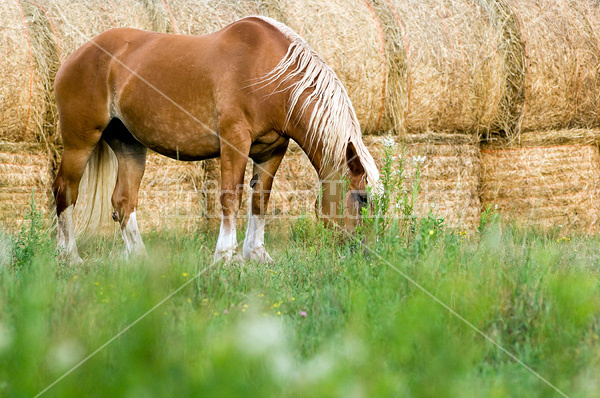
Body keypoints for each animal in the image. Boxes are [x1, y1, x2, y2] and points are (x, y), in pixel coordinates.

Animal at [51, 16, 380, 264]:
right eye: (361, 198)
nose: (363, 251)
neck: (272, 75)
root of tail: (76, 56)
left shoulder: (272, 150)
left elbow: (260, 200)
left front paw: (257, 254)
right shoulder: (235, 142)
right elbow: (230, 197)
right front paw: (225, 256)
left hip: (129, 146)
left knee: (123, 201)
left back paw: (140, 258)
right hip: (80, 143)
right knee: (65, 191)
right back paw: (70, 257)